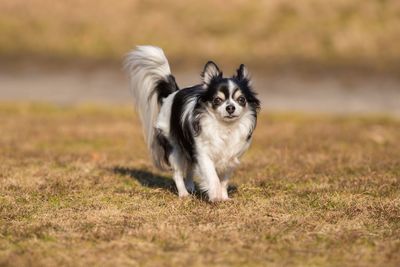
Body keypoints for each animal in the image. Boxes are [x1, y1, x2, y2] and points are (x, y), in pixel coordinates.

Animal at [126, 46, 262, 202]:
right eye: (217, 100)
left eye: (241, 100)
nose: (230, 107)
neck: (225, 127)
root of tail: (172, 94)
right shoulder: (203, 154)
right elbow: (212, 176)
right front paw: (215, 195)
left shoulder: (230, 158)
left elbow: (224, 180)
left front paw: (224, 197)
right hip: (174, 149)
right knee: (177, 174)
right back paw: (184, 194)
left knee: (190, 169)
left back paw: (190, 187)